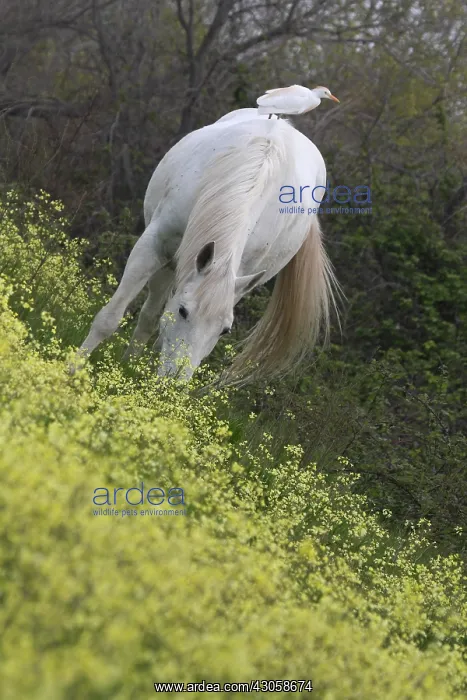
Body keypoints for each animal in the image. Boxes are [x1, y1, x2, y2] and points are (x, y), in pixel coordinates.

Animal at [75, 107, 339, 382]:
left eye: (225, 330)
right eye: (183, 311)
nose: (174, 383)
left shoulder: (236, 279)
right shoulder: (154, 246)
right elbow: (109, 319)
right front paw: (73, 369)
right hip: (170, 265)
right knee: (149, 314)